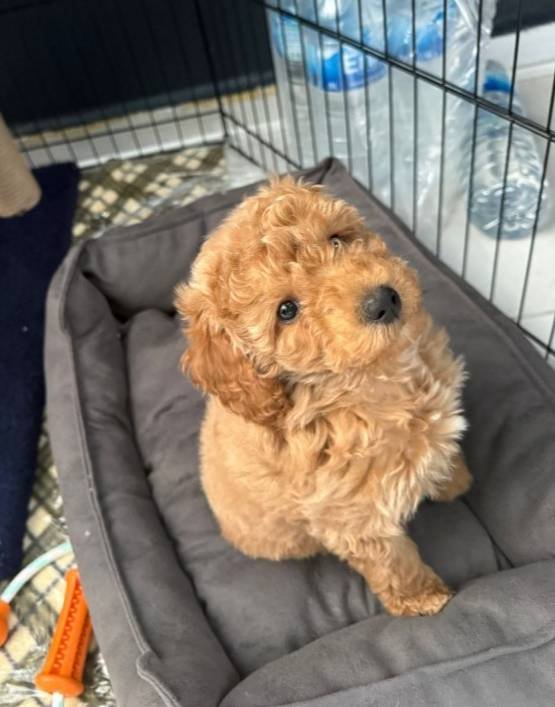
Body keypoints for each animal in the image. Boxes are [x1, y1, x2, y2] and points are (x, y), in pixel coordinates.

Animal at [175, 177, 471, 616]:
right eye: (286, 311)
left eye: (336, 239)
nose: (383, 300)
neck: (376, 377)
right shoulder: (352, 515)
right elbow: (391, 561)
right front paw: (423, 599)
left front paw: (456, 481)